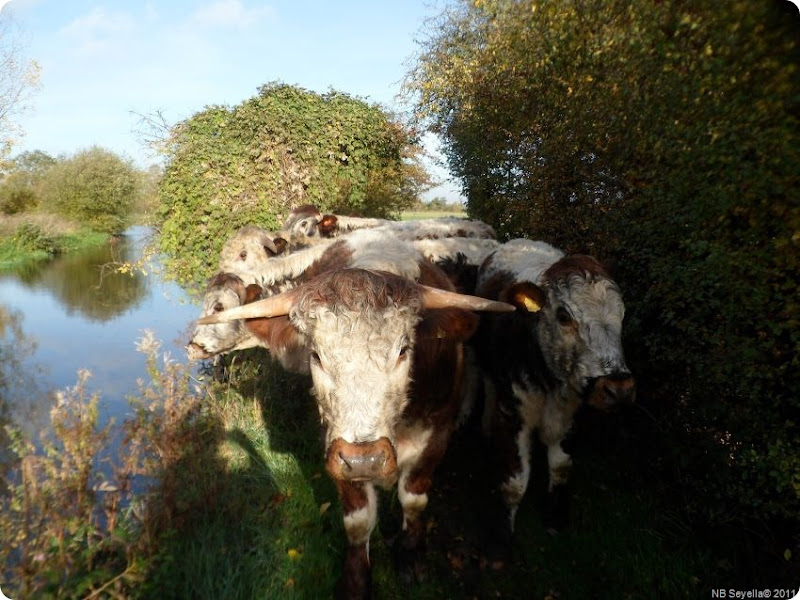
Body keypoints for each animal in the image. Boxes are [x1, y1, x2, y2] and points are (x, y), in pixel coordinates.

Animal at [197, 258, 516, 600]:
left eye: (403, 350)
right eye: (316, 355)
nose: (365, 460)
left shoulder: (435, 438)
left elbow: (413, 498)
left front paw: (411, 554)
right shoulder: (336, 448)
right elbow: (358, 520)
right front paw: (355, 580)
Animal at [472, 238, 636, 564]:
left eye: (622, 314)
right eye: (564, 316)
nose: (618, 388)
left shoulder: (570, 418)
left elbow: (561, 467)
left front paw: (556, 517)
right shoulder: (514, 416)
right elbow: (514, 481)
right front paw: (500, 542)